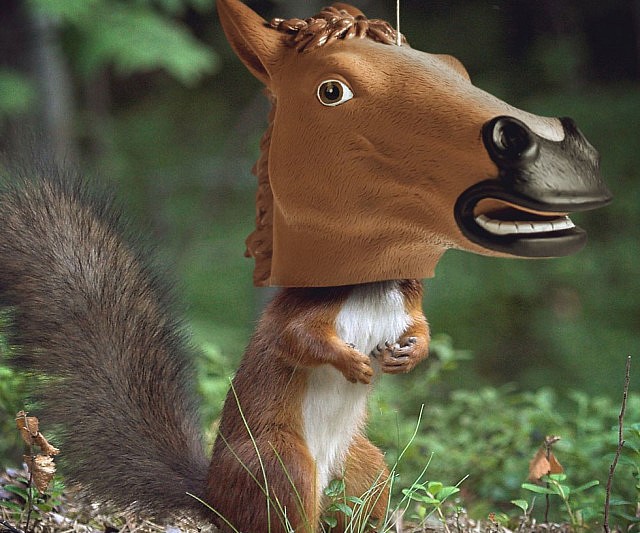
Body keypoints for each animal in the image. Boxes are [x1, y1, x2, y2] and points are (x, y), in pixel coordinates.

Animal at [0, 169, 430, 532]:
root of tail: (215, 501)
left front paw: (408, 355)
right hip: (280, 466)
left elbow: (420, 328)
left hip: (362, 469)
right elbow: (299, 338)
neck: (374, 286)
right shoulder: (308, 308)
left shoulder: (406, 309)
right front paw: (352, 362)